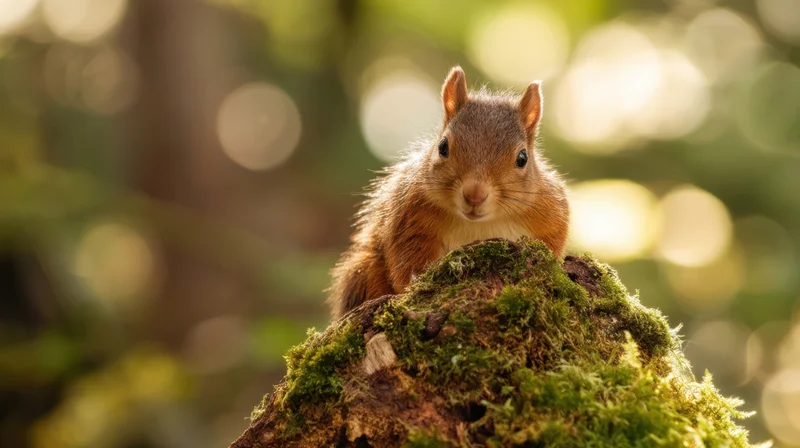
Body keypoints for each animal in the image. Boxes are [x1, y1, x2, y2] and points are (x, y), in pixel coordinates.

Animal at [328, 66, 570, 319]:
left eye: (522, 158)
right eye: (443, 147)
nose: (474, 195)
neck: (478, 226)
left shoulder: (550, 215)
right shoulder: (409, 217)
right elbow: (405, 262)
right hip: (362, 271)